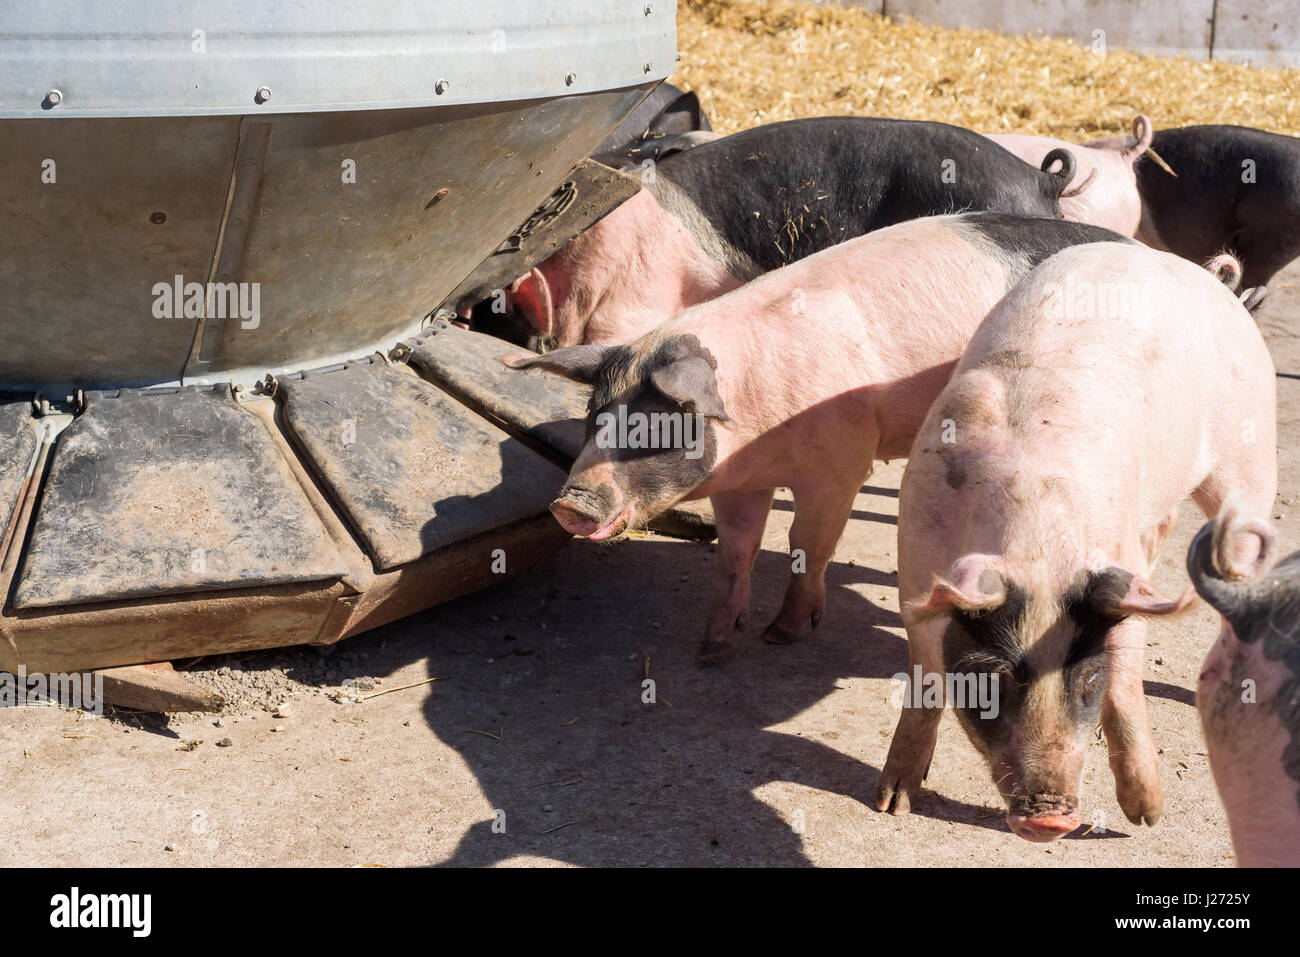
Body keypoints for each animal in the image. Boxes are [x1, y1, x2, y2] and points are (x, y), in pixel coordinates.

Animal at [878, 243, 1274, 842]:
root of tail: (1206, 274)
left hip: (1250, 453)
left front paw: (1146, 817)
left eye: (1088, 676)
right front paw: (890, 802)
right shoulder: (917, 561)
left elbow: (1128, 680)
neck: (1035, 544)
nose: (1051, 820)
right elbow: (924, 678)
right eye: (993, 678)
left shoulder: (1113, 569)